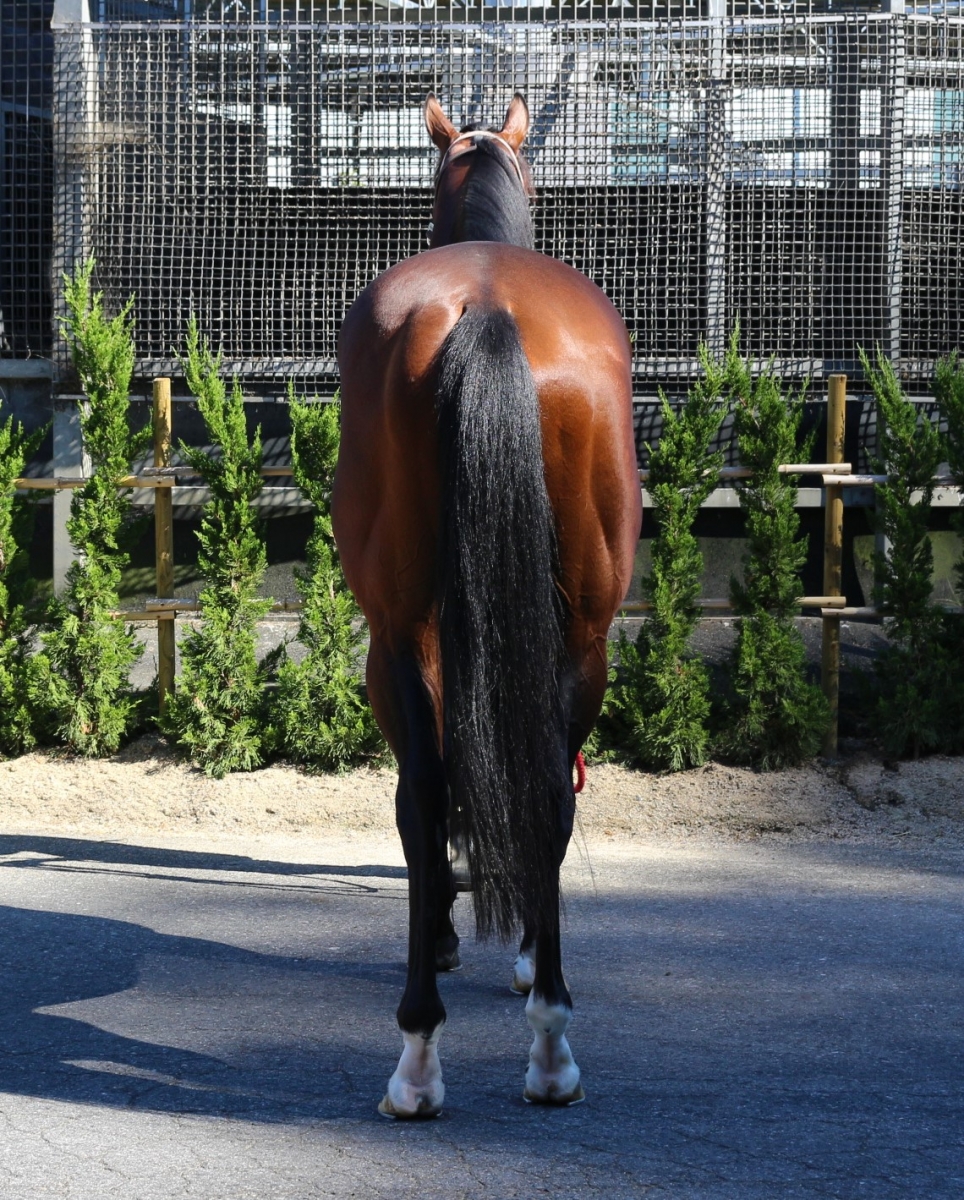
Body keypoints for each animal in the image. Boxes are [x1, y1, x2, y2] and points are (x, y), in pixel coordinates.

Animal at [332, 93, 642, 1117]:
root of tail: (492, 307)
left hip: (398, 635)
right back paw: (543, 1038)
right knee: (541, 786)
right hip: (581, 634)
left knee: (431, 791)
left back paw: (429, 1050)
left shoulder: (417, 635)